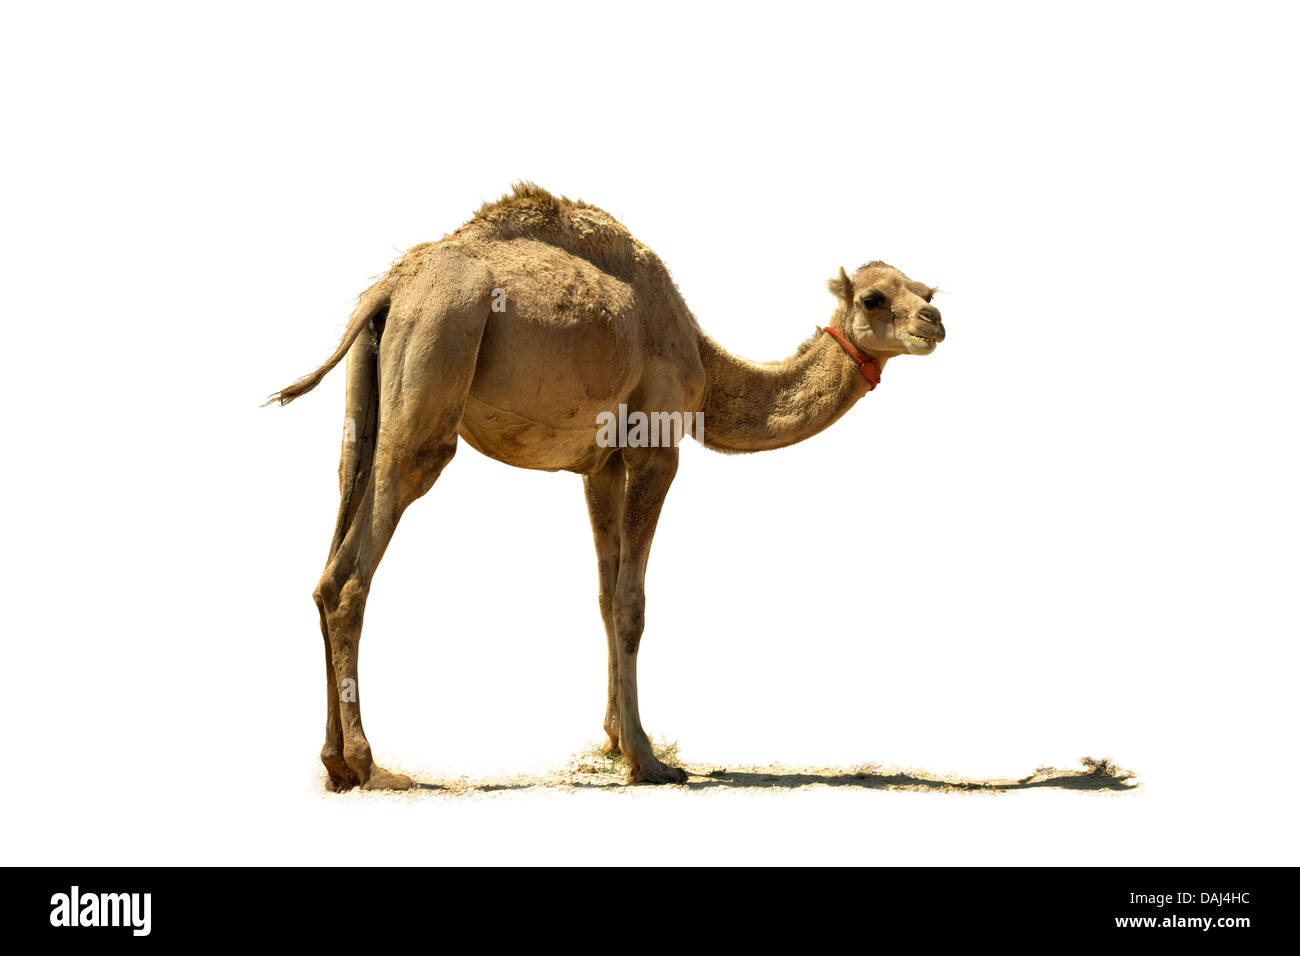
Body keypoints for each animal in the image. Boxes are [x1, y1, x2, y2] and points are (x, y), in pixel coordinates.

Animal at [270, 184, 945, 788]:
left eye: (926, 290)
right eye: (875, 298)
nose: (934, 321)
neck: (700, 357)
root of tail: (390, 289)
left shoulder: (601, 465)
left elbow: (602, 592)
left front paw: (615, 738)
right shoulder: (655, 448)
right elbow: (630, 601)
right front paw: (646, 760)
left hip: (368, 402)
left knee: (332, 552)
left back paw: (334, 764)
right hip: (437, 355)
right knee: (356, 569)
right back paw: (370, 766)